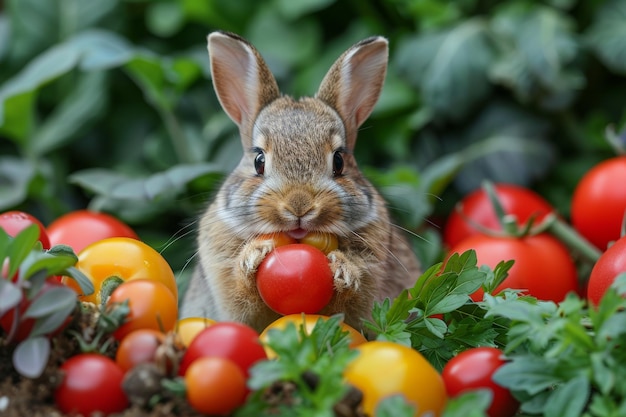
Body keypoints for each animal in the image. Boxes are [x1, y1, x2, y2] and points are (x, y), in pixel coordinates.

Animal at [183, 30, 422, 332]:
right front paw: (254, 255)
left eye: (339, 161)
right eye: (259, 161)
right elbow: (242, 299)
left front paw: (343, 270)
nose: (299, 206)